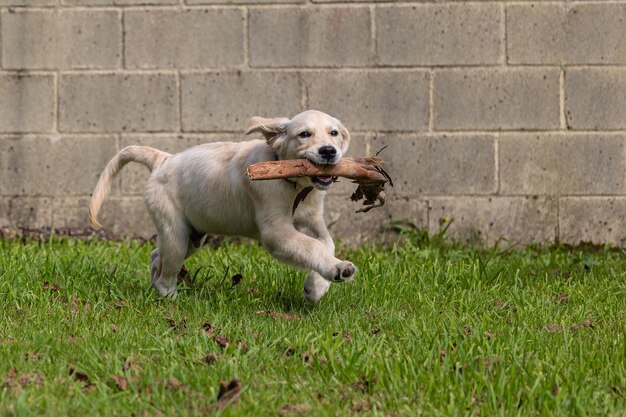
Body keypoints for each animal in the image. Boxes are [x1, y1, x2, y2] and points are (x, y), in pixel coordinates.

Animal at [91, 109, 358, 300]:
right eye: (304, 134)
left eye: (334, 133)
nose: (328, 151)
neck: (296, 187)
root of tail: (163, 159)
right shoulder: (275, 232)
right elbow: (313, 246)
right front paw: (338, 269)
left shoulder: (311, 219)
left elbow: (326, 243)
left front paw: (316, 286)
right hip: (176, 235)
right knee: (167, 268)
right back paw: (169, 296)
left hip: (192, 237)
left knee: (157, 255)